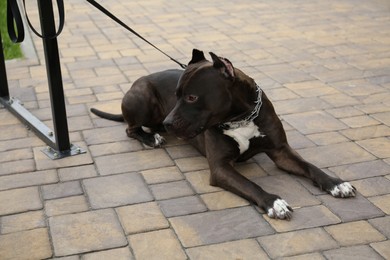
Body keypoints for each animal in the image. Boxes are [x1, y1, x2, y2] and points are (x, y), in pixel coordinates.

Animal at [90, 49, 354, 219]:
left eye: (191, 97)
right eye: (175, 94)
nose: (168, 122)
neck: (241, 118)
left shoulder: (281, 152)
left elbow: (311, 167)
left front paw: (336, 183)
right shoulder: (220, 168)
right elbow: (250, 184)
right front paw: (273, 202)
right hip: (143, 97)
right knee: (130, 128)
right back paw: (151, 137)